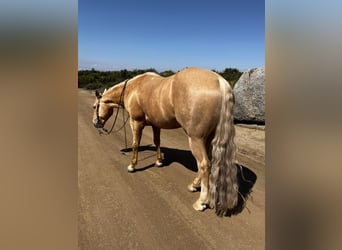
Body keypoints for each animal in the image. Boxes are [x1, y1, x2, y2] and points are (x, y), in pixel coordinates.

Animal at [93, 67, 238, 216]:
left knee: (204, 164)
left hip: (196, 139)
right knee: (207, 162)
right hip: (208, 138)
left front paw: (132, 166)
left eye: (94, 107)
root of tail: (219, 81)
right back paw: (193, 185)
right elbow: (157, 141)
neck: (132, 89)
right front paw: (159, 161)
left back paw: (201, 201)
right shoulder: (156, 124)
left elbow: (135, 144)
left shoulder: (136, 122)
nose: (95, 123)